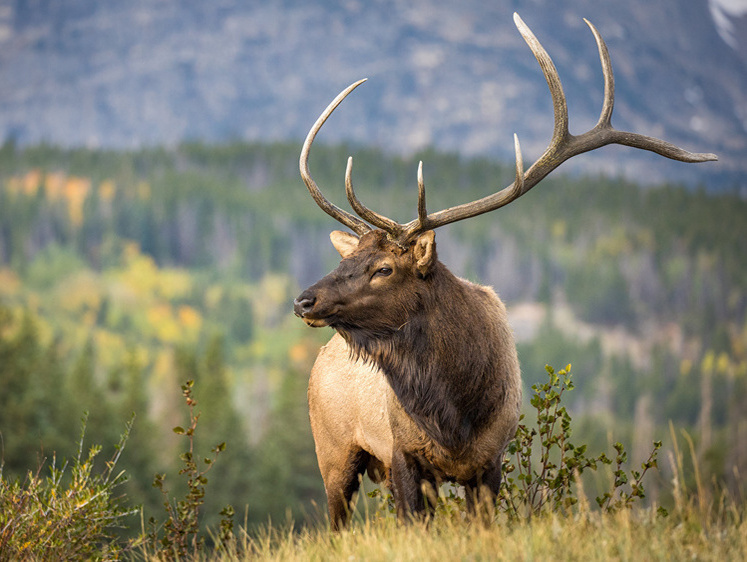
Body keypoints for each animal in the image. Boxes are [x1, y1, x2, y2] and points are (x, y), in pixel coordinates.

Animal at [292, 14, 712, 528]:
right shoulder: (403, 453)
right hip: (333, 453)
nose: (304, 299)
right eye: (345, 260)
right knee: (336, 524)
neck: (454, 410)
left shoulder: (489, 460)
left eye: (384, 268)